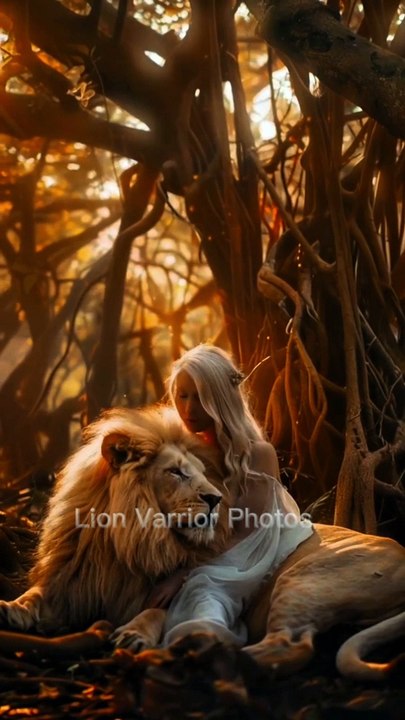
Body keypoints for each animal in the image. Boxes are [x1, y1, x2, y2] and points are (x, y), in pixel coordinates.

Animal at [1, 406, 405, 682]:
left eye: (199, 473)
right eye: (176, 472)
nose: (215, 499)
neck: (126, 541)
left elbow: (159, 609)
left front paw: (134, 634)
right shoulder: (70, 581)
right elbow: (36, 594)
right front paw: (12, 609)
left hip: (305, 580)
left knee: (290, 646)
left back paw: (192, 651)